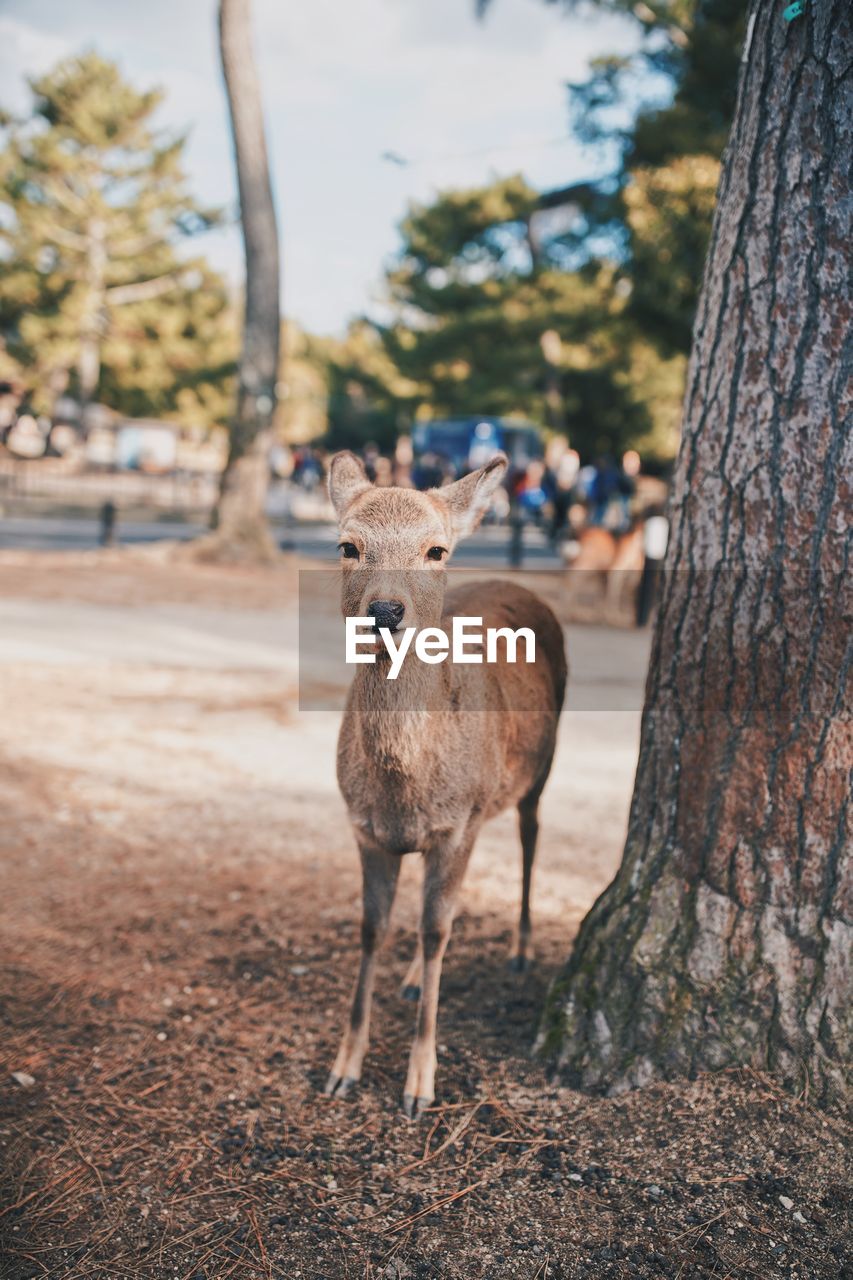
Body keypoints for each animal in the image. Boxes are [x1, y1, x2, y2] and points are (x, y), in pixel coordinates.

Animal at [324, 455, 563, 1116]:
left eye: (436, 550)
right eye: (347, 545)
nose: (385, 611)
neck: (406, 790)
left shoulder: (459, 824)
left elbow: (436, 931)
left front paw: (419, 1083)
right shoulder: (364, 827)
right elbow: (373, 928)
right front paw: (343, 1068)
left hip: (540, 769)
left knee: (530, 838)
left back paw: (521, 950)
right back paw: (410, 980)